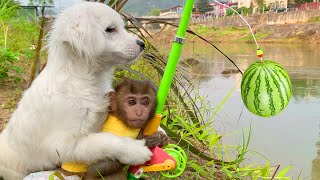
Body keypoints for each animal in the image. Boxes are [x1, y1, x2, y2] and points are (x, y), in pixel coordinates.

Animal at [0, 2, 152, 179]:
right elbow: (102, 141)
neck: (85, 80)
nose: (142, 44)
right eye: (110, 29)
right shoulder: (62, 145)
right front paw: (134, 150)